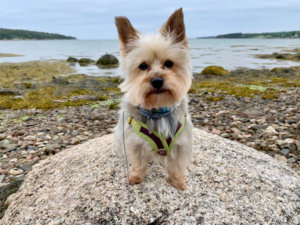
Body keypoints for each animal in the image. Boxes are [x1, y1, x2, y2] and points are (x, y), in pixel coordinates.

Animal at [113, 7, 193, 190]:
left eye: (169, 63)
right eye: (143, 66)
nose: (157, 81)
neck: (157, 109)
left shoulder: (182, 143)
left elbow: (177, 165)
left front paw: (177, 182)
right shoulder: (132, 141)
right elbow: (138, 162)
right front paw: (136, 177)